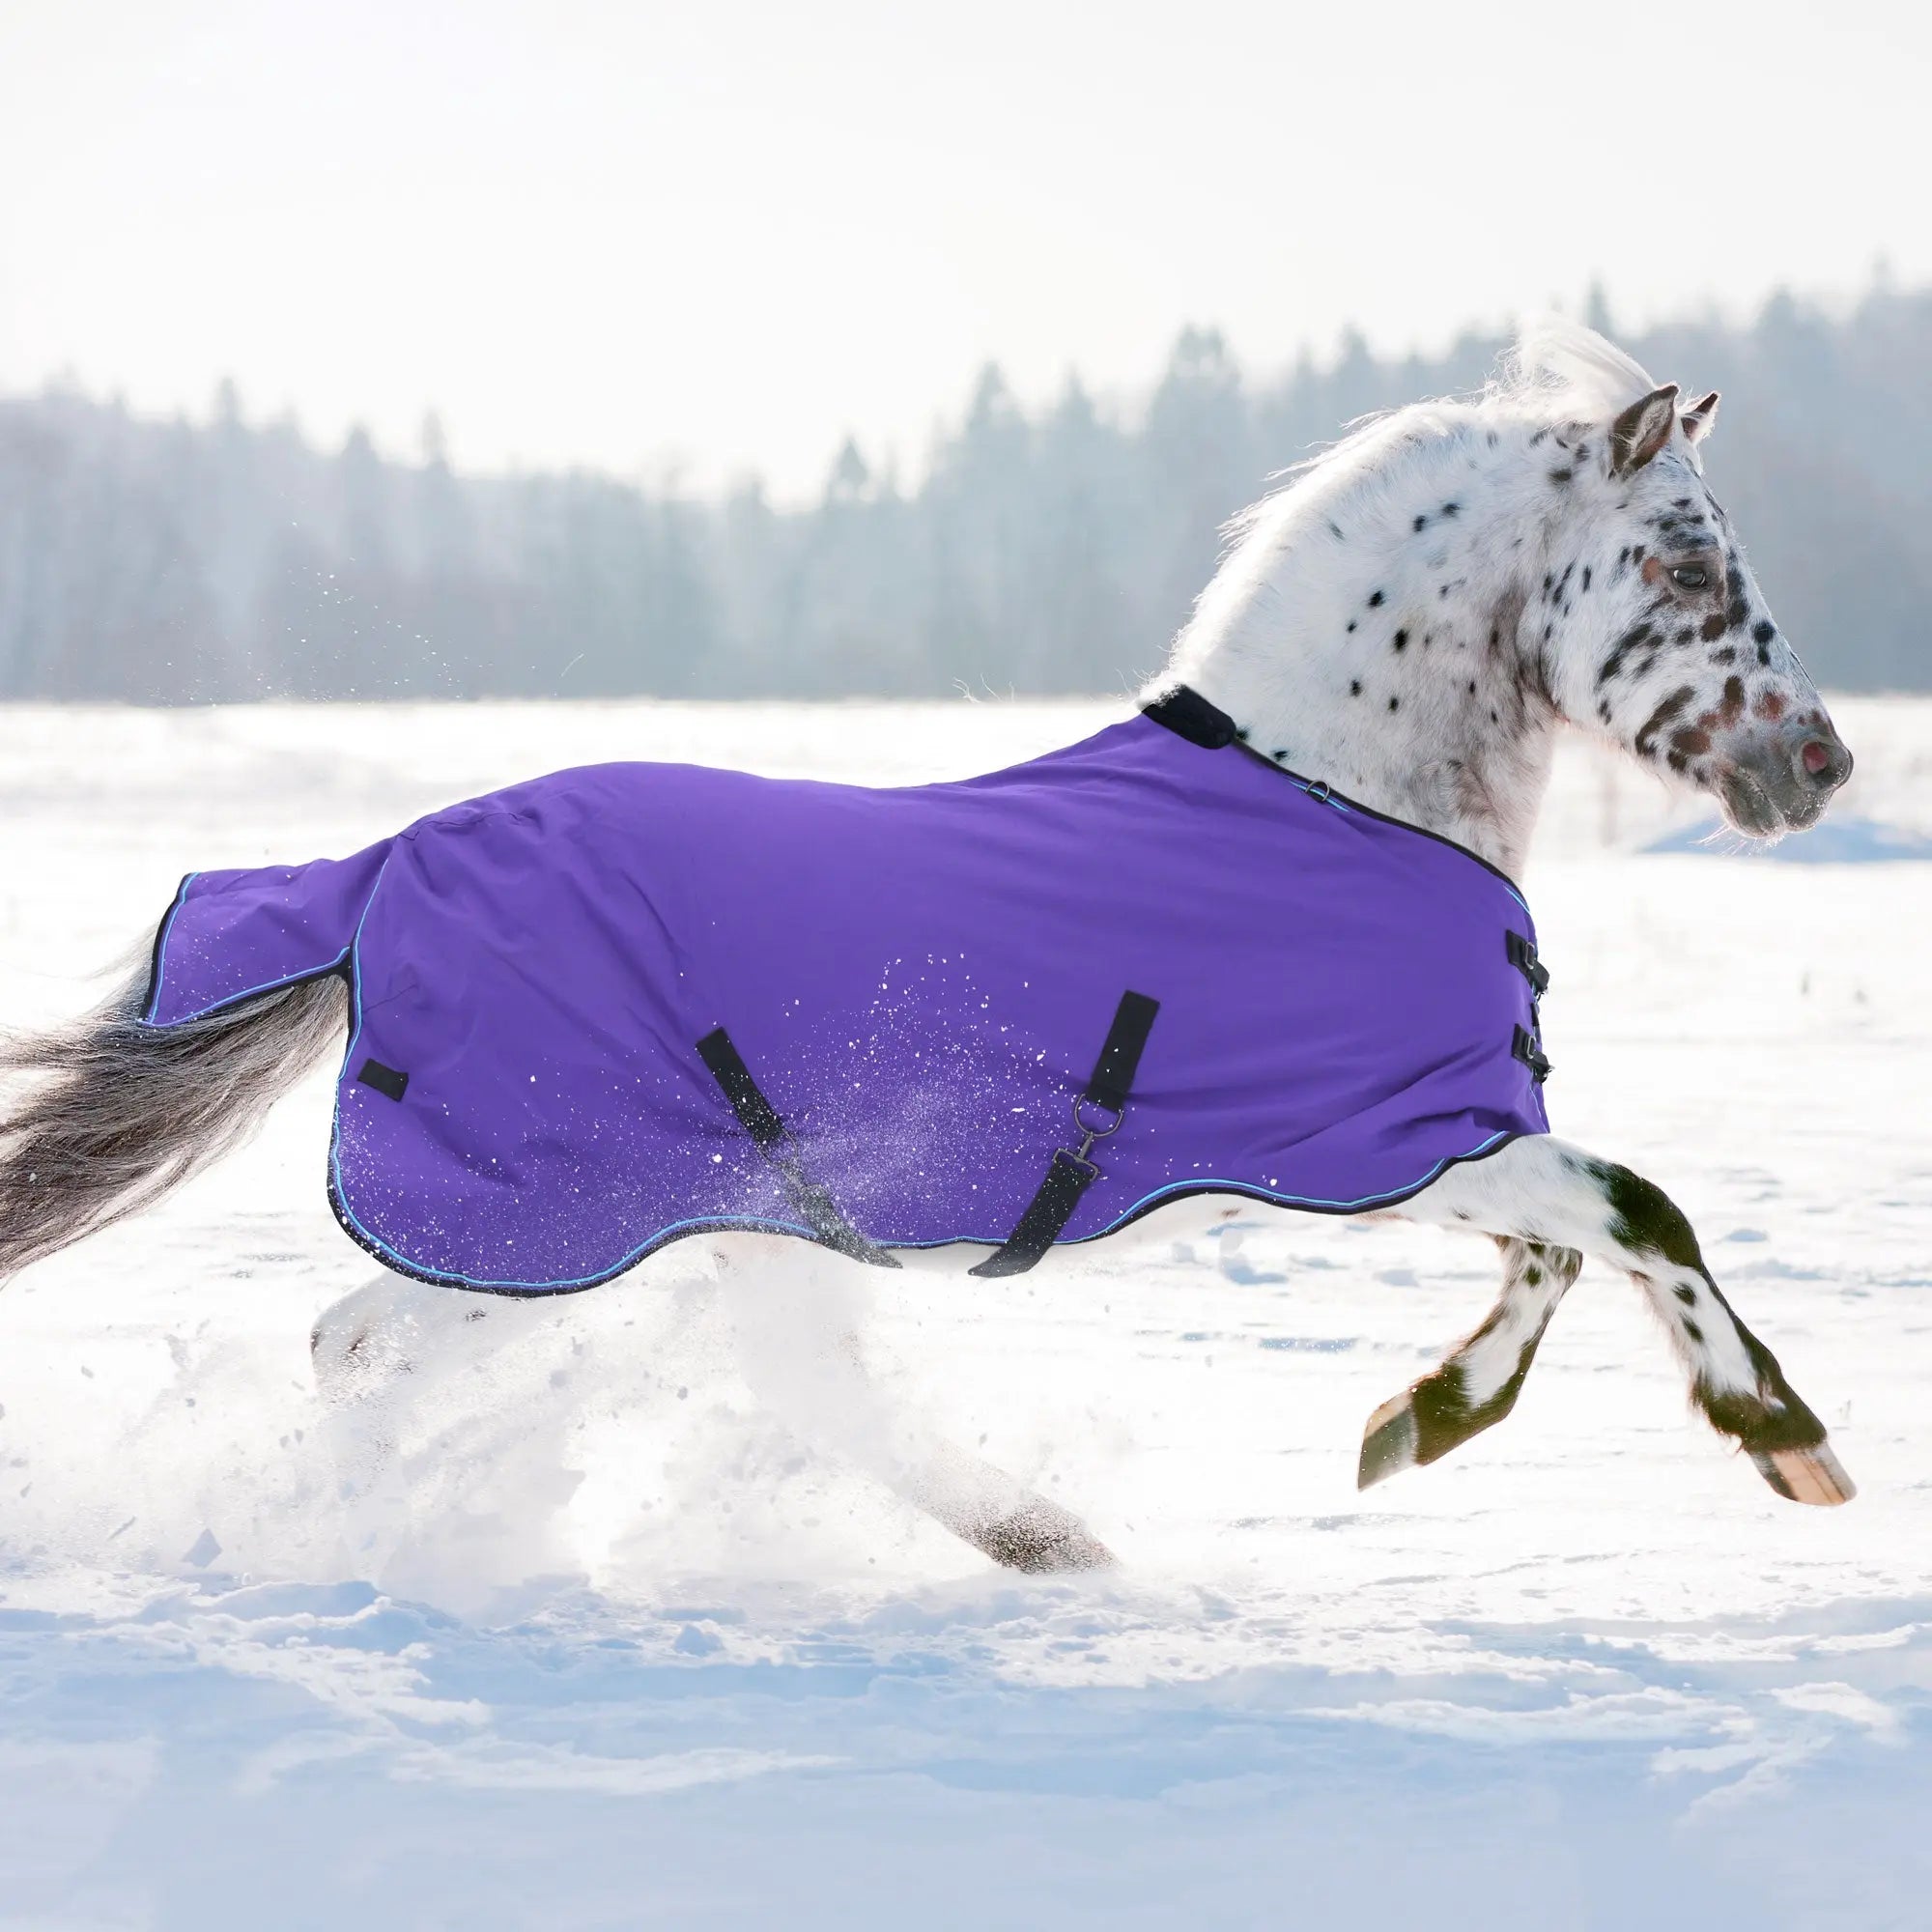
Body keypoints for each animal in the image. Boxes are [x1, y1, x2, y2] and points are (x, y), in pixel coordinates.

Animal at [0, 320, 1858, 1574]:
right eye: (1685, 563)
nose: (1821, 766)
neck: (1335, 801)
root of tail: (385, 869)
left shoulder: (1420, 1146)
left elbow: (1564, 1250)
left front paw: (1412, 1426)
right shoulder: (1381, 1142)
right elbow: (1638, 1213)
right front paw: (1787, 1442)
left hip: (696, 1223)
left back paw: (1051, 1549)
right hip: (563, 1223)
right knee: (381, 1355)